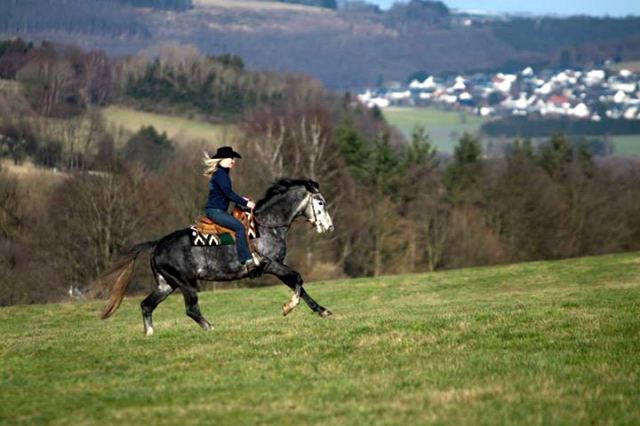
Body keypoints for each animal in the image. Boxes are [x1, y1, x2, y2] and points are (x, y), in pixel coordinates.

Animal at [97, 178, 336, 334]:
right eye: (320, 202)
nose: (329, 227)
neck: (267, 225)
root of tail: (158, 245)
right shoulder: (271, 265)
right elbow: (298, 279)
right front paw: (288, 307)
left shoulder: (277, 266)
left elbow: (300, 286)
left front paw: (322, 311)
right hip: (186, 283)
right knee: (191, 309)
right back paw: (211, 328)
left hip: (167, 284)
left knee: (147, 305)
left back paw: (150, 334)